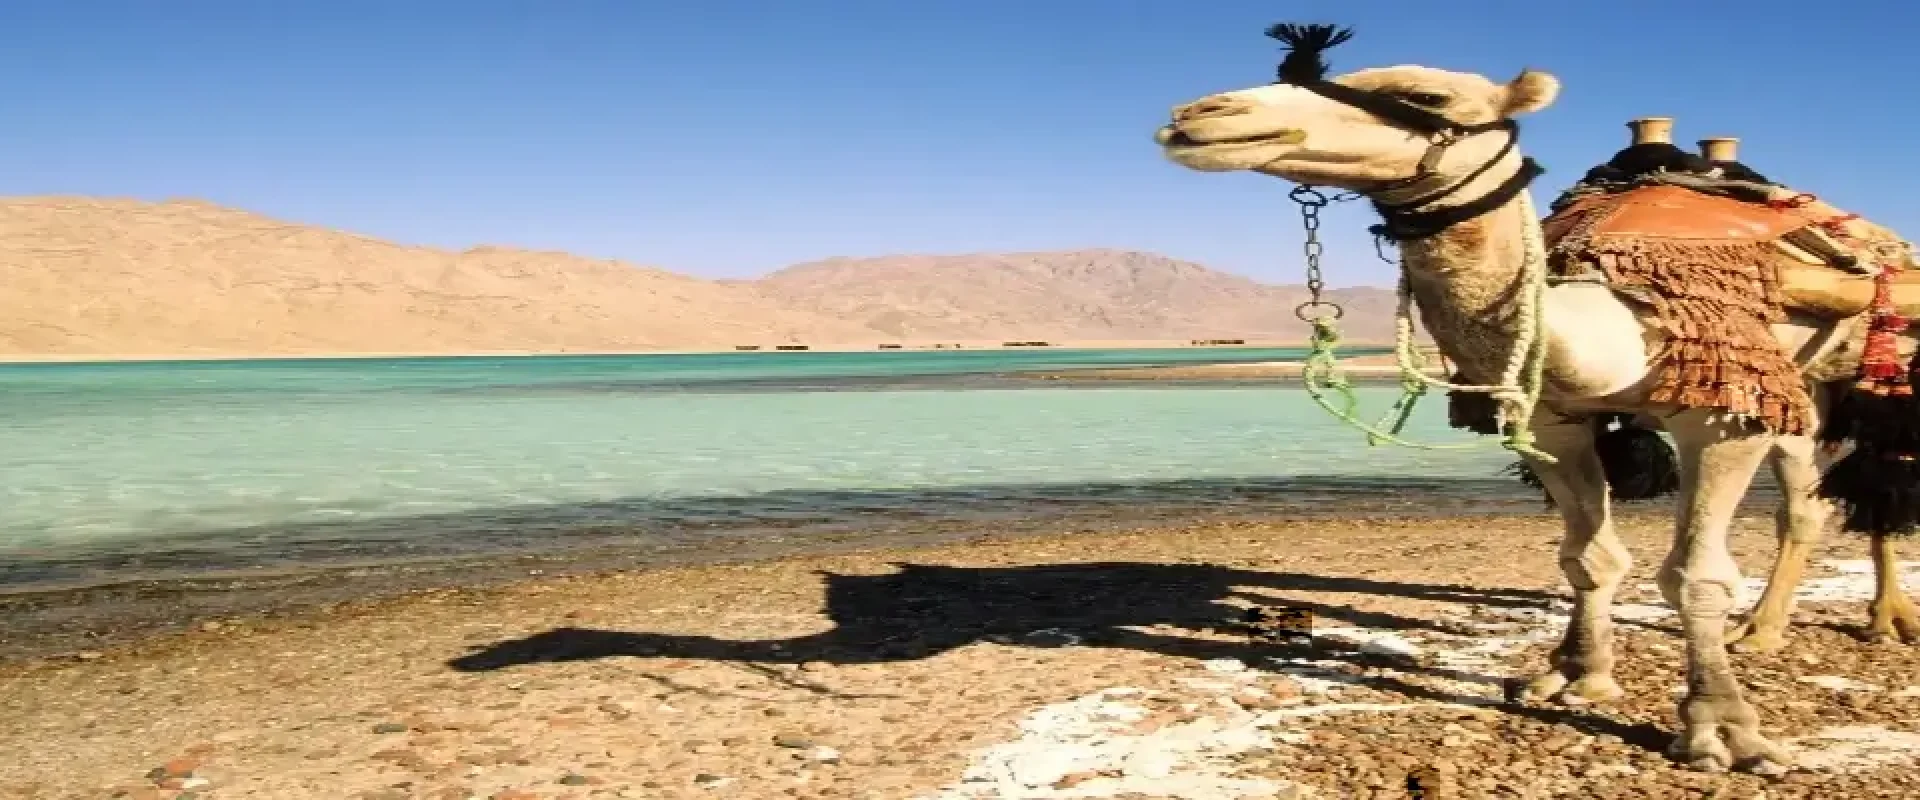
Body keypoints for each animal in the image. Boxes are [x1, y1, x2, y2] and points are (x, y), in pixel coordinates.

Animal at [1150, 24, 1918, 773]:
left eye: (1423, 94)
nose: (1197, 114)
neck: (1620, 311)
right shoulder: (1555, 419)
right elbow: (1588, 556)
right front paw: (1575, 675)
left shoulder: (1723, 413)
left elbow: (1696, 577)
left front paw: (1722, 731)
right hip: (1803, 394)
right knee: (1807, 502)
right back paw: (1767, 626)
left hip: (1875, 373)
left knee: (1875, 481)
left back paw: (1877, 621)